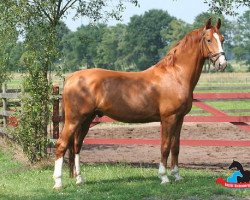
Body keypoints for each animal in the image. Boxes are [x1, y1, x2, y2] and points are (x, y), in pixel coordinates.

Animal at [52, 18, 227, 188]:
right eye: (209, 39)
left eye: (222, 39)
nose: (222, 64)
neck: (175, 75)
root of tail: (71, 78)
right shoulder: (168, 118)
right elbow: (165, 147)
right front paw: (164, 177)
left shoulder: (179, 118)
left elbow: (175, 147)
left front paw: (177, 176)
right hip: (74, 120)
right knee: (61, 144)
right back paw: (58, 182)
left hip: (87, 119)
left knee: (76, 145)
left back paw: (79, 180)